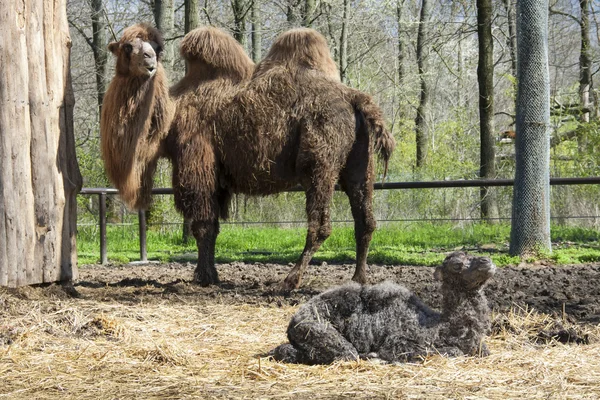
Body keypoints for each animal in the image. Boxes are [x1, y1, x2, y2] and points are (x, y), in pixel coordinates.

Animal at [101, 25, 396, 290]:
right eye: (128, 47)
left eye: (156, 48)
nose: (149, 61)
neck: (173, 115)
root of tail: (356, 98)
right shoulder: (215, 175)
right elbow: (213, 227)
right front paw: (210, 275)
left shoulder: (195, 160)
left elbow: (202, 225)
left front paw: (204, 277)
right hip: (360, 165)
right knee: (365, 221)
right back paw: (358, 279)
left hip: (320, 163)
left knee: (321, 224)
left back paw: (290, 281)